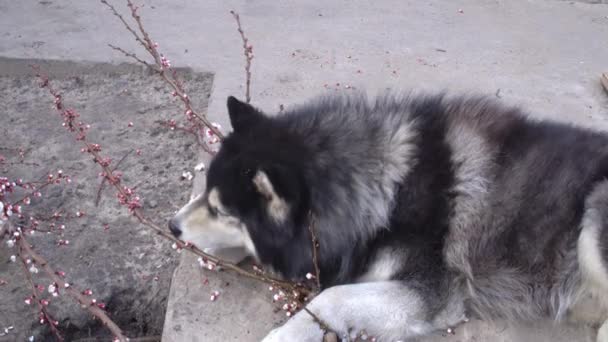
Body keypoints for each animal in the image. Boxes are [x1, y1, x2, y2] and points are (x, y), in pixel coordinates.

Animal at [169, 92, 608, 340]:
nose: (172, 226)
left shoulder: (432, 293)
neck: (386, 187)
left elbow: (332, 296)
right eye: (205, 192)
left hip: (595, 218)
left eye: (220, 210)